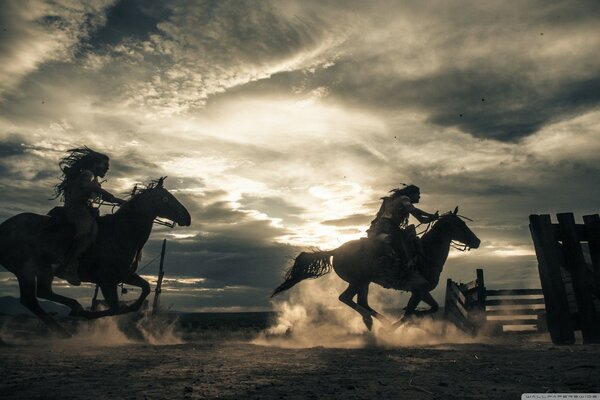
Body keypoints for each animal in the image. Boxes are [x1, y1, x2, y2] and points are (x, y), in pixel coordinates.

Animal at [0, 178, 191, 338]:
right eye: (166, 198)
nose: (187, 217)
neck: (121, 233)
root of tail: (4, 227)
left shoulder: (125, 275)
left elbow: (145, 289)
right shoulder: (107, 281)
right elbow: (115, 308)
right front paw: (86, 313)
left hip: (41, 270)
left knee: (38, 295)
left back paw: (65, 326)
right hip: (27, 270)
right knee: (33, 298)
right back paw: (71, 317)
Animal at [274, 208, 480, 330]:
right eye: (461, 225)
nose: (477, 241)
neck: (426, 254)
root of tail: (336, 250)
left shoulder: (419, 291)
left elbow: (425, 308)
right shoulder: (419, 289)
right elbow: (414, 312)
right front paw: (402, 323)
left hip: (364, 283)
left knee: (361, 302)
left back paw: (375, 321)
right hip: (358, 281)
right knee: (346, 298)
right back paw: (372, 320)